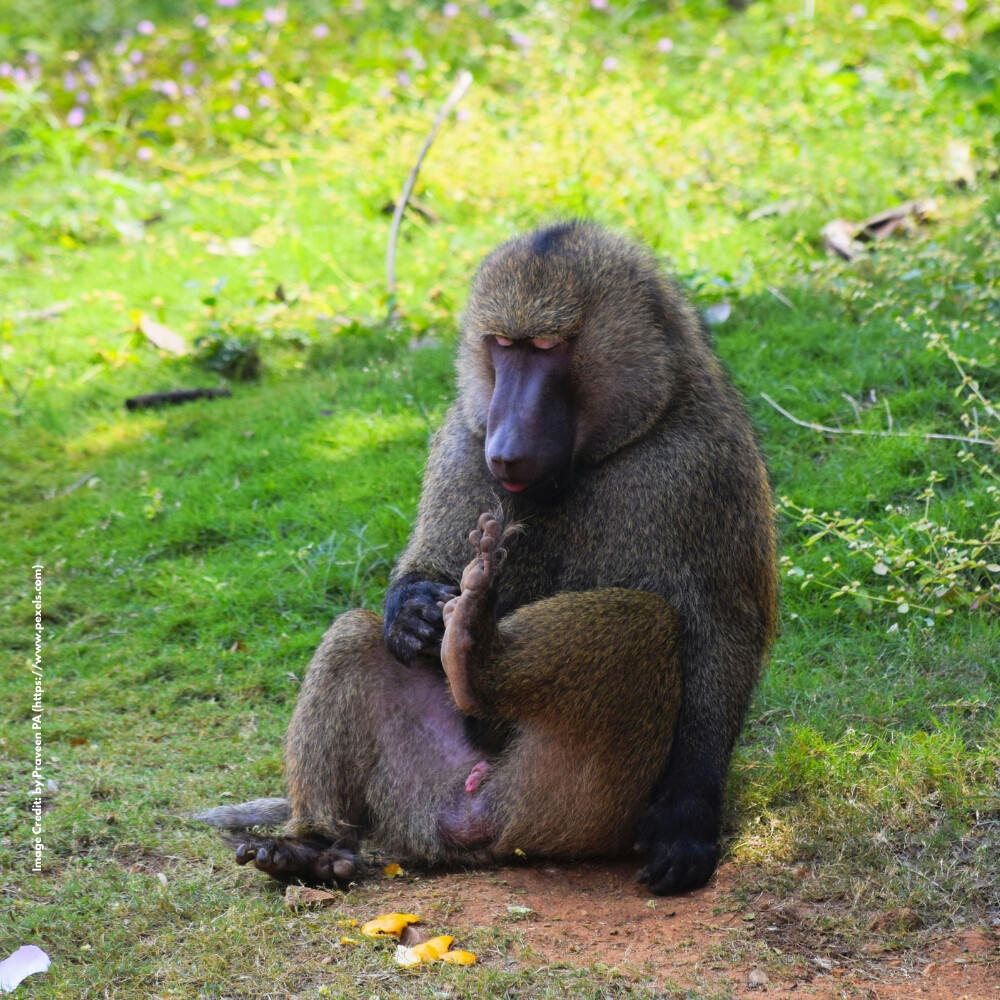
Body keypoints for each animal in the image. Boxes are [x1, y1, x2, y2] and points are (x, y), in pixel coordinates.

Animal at [195, 220, 778, 895]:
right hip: (422, 793)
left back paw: (473, 650)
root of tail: (482, 823)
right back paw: (312, 848)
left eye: (547, 346)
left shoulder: (704, 462)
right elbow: (420, 575)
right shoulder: (460, 438)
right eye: (501, 345)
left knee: (646, 621)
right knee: (355, 635)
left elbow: (719, 636)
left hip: (578, 807)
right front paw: (414, 611)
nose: (504, 447)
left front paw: (685, 824)